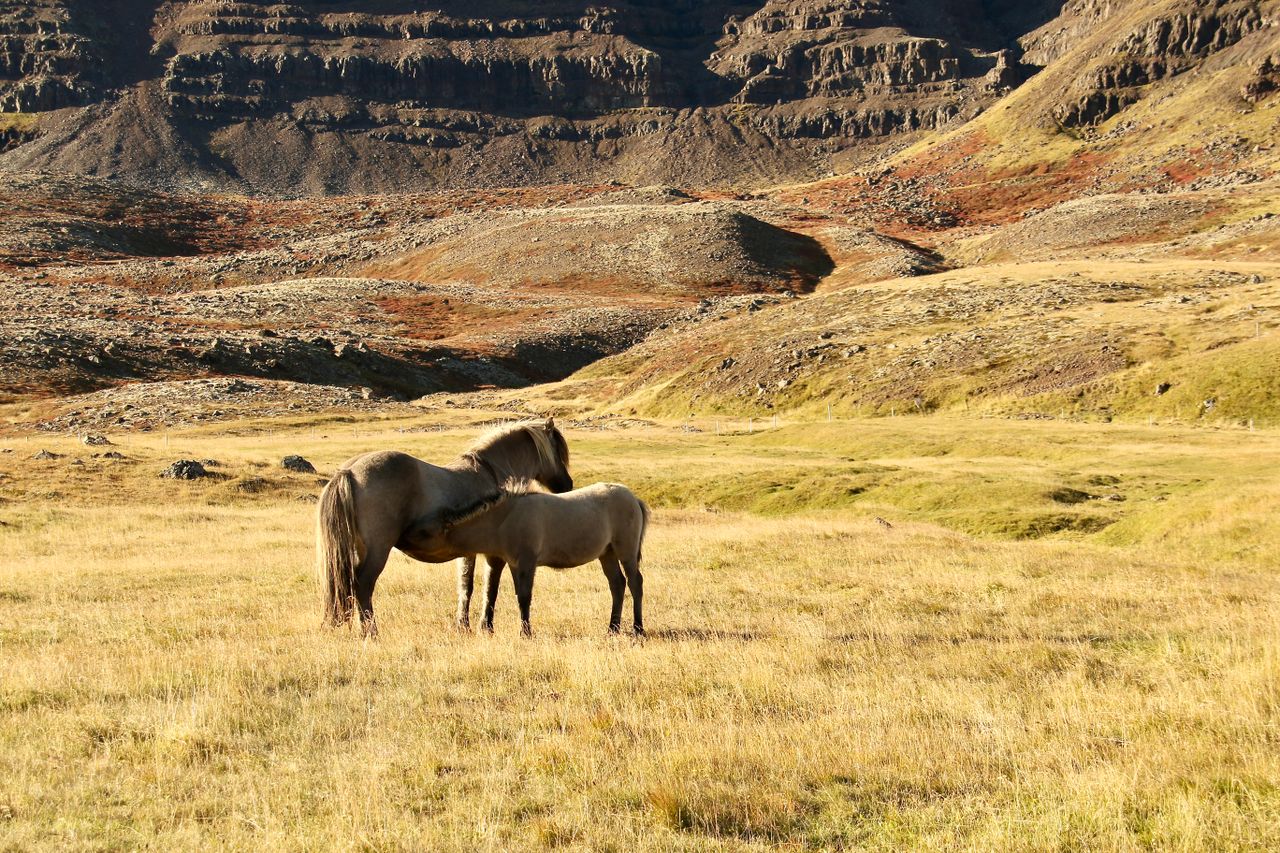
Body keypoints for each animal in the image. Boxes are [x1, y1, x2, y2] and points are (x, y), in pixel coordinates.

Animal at [315, 419, 572, 637]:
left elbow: (466, 587)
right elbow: (488, 588)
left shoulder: (470, 552)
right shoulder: (492, 554)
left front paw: (464, 626)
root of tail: (349, 471)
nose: (567, 485)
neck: (491, 474)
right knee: (364, 586)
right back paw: (371, 633)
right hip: (378, 550)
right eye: (558, 452)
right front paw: (484, 627)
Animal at [426, 482, 650, 637]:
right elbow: (515, 595)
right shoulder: (514, 564)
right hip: (607, 554)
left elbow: (525, 597)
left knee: (635, 583)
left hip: (626, 552)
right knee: (617, 585)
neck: (506, 517)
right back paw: (612, 628)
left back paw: (638, 628)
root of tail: (634, 499)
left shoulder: (527, 562)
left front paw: (525, 633)